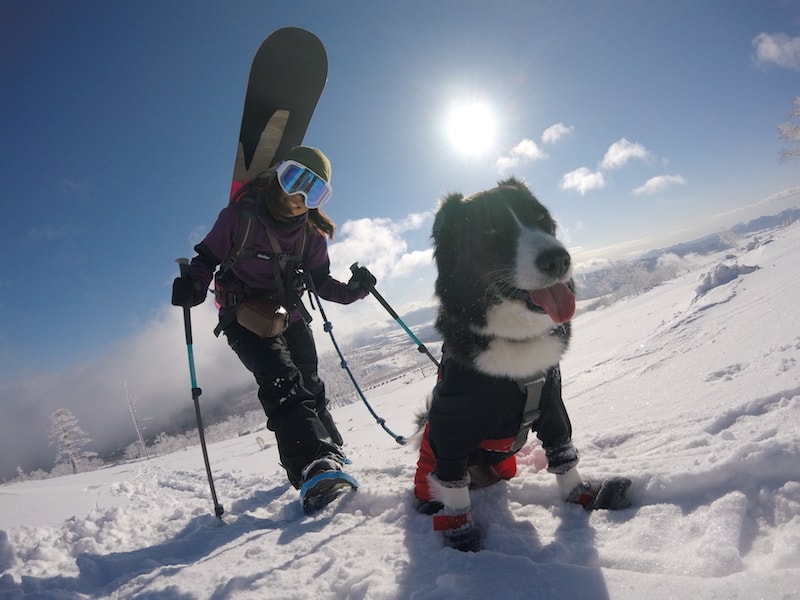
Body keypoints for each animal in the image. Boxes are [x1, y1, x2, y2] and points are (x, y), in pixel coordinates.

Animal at [412, 176, 632, 552]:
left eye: (541, 217)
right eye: (489, 231)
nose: (558, 259)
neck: (514, 339)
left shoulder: (552, 404)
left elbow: (563, 455)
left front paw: (584, 498)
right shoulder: (451, 427)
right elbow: (453, 487)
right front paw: (462, 537)